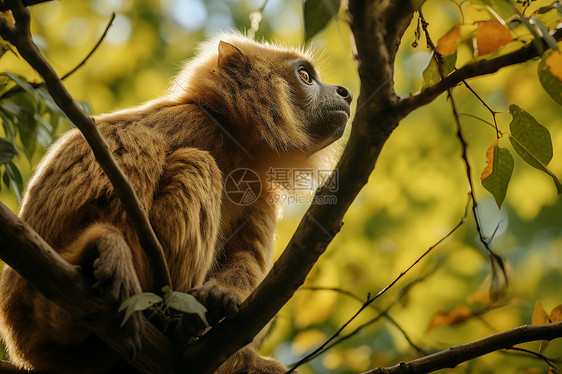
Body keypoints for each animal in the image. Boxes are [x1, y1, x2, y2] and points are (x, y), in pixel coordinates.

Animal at [0, 32, 350, 374]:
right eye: (305, 76)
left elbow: (246, 256)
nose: (345, 92)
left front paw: (221, 298)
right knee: (191, 160)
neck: (235, 146)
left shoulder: (261, 190)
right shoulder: (191, 123)